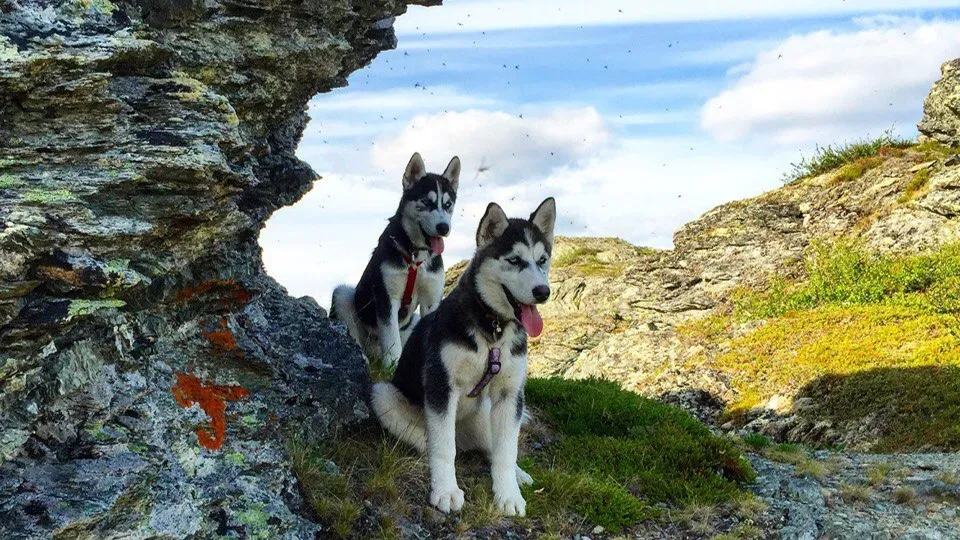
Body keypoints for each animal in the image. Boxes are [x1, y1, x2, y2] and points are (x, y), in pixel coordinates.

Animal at [334, 154, 462, 370]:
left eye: (447, 204)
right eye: (426, 201)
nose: (444, 228)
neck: (416, 257)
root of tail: (374, 352)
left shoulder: (431, 300)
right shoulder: (387, 297)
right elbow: (391, 340)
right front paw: (392, 366)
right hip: (344, 297)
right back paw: (363, 357)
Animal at [372, 197, 560, 516]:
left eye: (542, 260)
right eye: (514, 260)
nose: (542, 291)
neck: (492, 331)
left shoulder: (510, 395)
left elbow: (506, 451)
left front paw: (508, 495)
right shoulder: (441, 384)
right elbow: (444, 447)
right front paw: (446, 490)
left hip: (485, 411)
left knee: (493, 447)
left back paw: (518, 474)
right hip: (383, 395)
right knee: (432, 441)